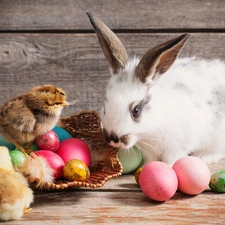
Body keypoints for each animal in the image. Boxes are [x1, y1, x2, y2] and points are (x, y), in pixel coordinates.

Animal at [87, 11, 225, 165]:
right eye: (105, 107)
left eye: (136, 111)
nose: (113, 139)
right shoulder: (150, 151)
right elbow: (150, 161)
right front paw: (145, 167)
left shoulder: (176, 146)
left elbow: (171, 161)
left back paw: (202, 157)